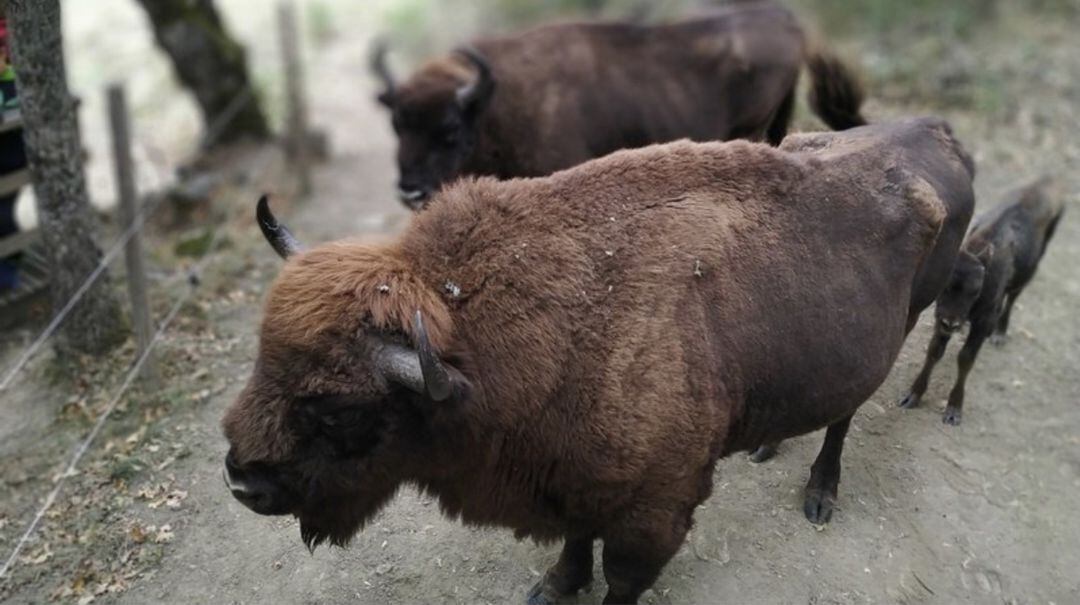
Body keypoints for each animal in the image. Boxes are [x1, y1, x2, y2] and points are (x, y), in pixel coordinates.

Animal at [223, 115, 976, 600]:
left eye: (339, 411)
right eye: (261, 358)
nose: (241, 482)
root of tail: (940, 134)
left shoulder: (655, 511)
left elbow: (621, 577)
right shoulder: (571, 478)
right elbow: (573, 538)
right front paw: (554, 585)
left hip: (909, 318)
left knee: (848, 411)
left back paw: (820, 491)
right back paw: (770, 448)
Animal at [375, 0, 864, 207]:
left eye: (450, 130)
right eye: (397, 125)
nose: (409, 191)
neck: (495, 102)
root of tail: (786, 17)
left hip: (750, 127)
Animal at [894, 176, 1062, 425]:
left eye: (975, 291)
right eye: (944, 287)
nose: (952, 323)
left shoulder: (981, 321)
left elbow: (966, 358)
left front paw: (954, 409)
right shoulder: (941, 320)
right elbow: (934, 351)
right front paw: (912, 395)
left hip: (1027, 274)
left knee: (1012, 299)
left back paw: (999, 334)